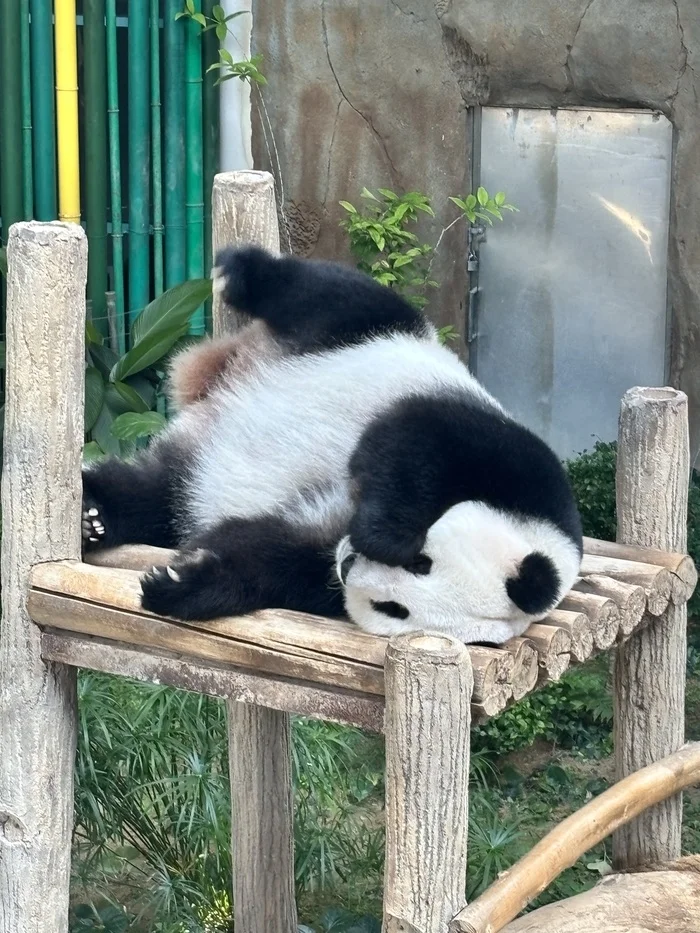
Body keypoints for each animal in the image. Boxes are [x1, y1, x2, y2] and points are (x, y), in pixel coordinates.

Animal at [82, 245, 583, 645]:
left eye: (394, 609)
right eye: (421, 562)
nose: (349, 567)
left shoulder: (316, 559)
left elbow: (270, 560)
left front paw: (180, 582)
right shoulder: (515, 461)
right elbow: (413, 439)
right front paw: (383, 534)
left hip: (193, 470)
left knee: (156, 493)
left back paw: (96, 514)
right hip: (366, 338)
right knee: (332, 294)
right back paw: (240, 272)